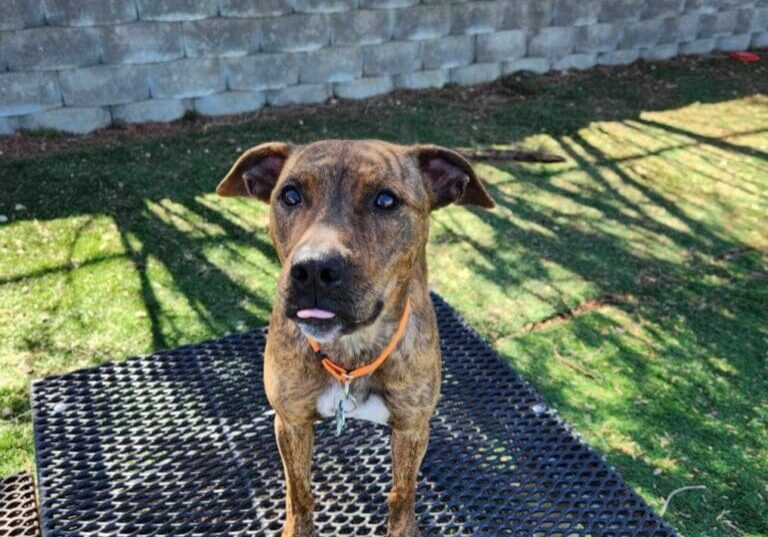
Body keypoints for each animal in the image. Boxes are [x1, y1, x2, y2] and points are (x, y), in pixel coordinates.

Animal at [218, 140, 492, 532]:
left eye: (386, 200)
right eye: (290, 195)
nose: (314, 269)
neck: (351, 351)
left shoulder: (412, 427)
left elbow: (402, 494)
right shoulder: (291, 422)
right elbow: (299, 491)